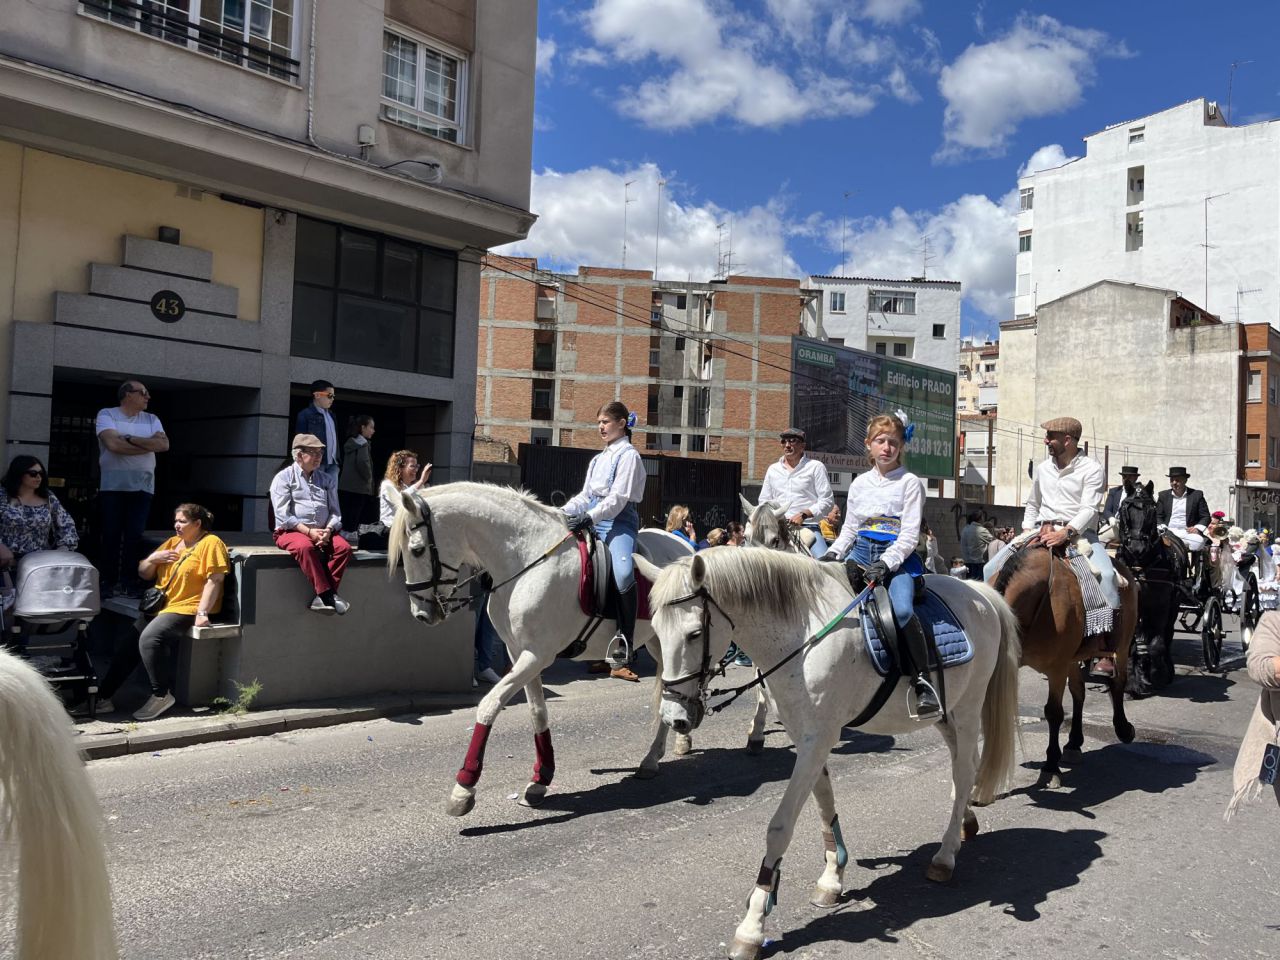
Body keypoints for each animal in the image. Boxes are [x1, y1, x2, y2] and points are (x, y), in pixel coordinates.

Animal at [386, 483, 701, 814]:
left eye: (417, 549)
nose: (422, 614)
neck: (525, 560)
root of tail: (686, 547)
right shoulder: (519, 654)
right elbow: (537, 711)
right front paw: (540, 779)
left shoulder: (537, 655)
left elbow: (489, 704)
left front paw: (464, 788)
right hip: (659, 640)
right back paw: (670, 744)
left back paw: (663, 750)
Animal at [640, 547, 1018, 960]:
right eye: (655, 631)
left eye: (694, 633)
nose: (674, 717)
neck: (804, 635)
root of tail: (980, 591)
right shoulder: (808, 735)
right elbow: (824, 806)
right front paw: (832, 877)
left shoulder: (817, 739)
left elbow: (779, 828)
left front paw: (753, 925)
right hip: (945, 715)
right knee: (960, 767)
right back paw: (965, 821)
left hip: (966, 711)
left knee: (964, 773)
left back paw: (945, 856)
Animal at [988, 545, 1141, 783]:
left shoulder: (1057, 668)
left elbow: (1054, 712)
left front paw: (1051, 766)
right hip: (1073, 657)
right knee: (1079, 692)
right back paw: (1074, 743)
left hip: (1122, 645)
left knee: (1118, 683)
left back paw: (1123, 729)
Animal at [1116, 483, 1182, 696]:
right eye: (1124, 509)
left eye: (1152, 510)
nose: (1137, 548)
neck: (1140, 566)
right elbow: (1131, 643)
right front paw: (1131, 681)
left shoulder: (1160, 606)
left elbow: (1157, 644)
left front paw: (1155, 673)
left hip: (1173, 606)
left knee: (1167, 635)